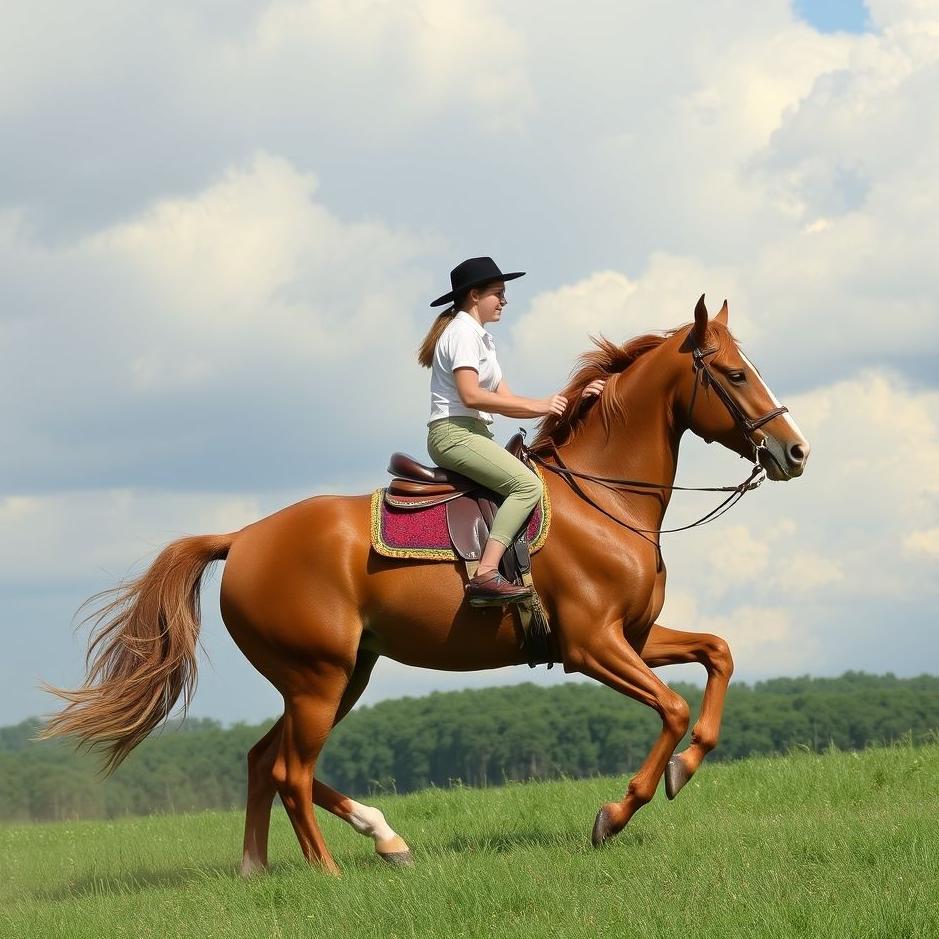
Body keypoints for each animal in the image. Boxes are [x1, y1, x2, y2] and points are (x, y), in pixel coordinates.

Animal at [40, 295, 810, 875]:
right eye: (735, 374)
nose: (795, 451)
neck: (605, 499)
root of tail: (243, 538)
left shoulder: (637, 636)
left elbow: (718, 654)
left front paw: (685, 765)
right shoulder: (592, 645)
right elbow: (672, 709)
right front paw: (617, 812)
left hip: (339, 674)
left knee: (265, 760)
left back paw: (309, 855)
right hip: (318, 678)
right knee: (289, 770)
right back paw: (332, 871)